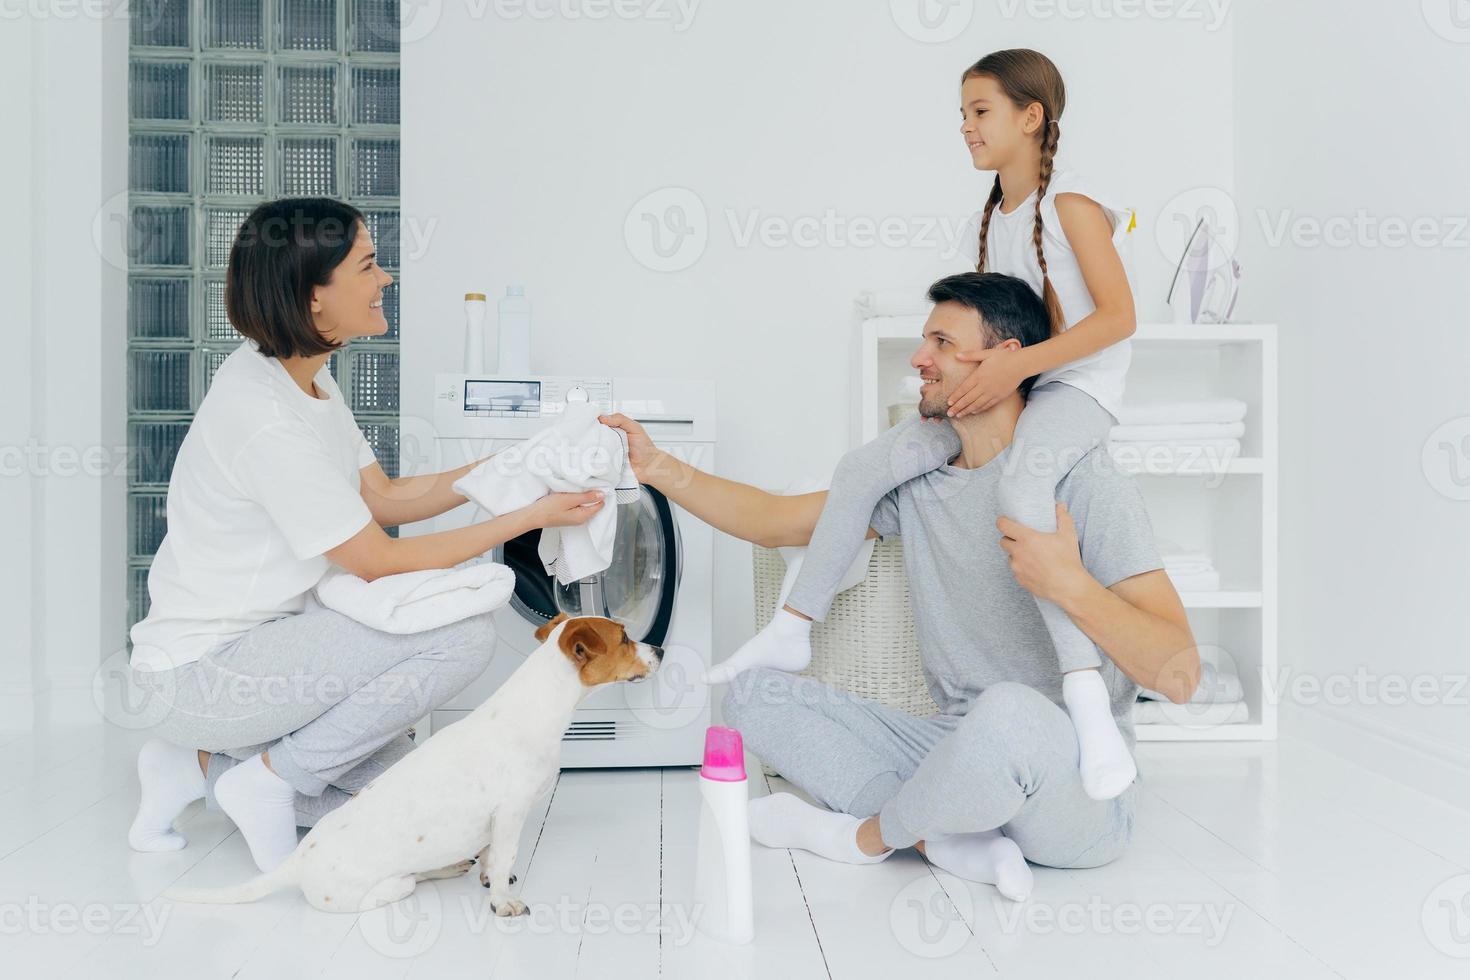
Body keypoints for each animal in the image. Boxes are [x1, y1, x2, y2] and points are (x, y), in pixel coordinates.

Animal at [163, 614, 664, 922]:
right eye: (624, 638)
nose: (659, 647)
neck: (537, 708)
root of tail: (298, 861)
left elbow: (492, 856)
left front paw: (488, 875)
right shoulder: (510, 813)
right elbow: (503, 856)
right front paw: (503, 901)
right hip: (382, 887)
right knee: (402, 882)